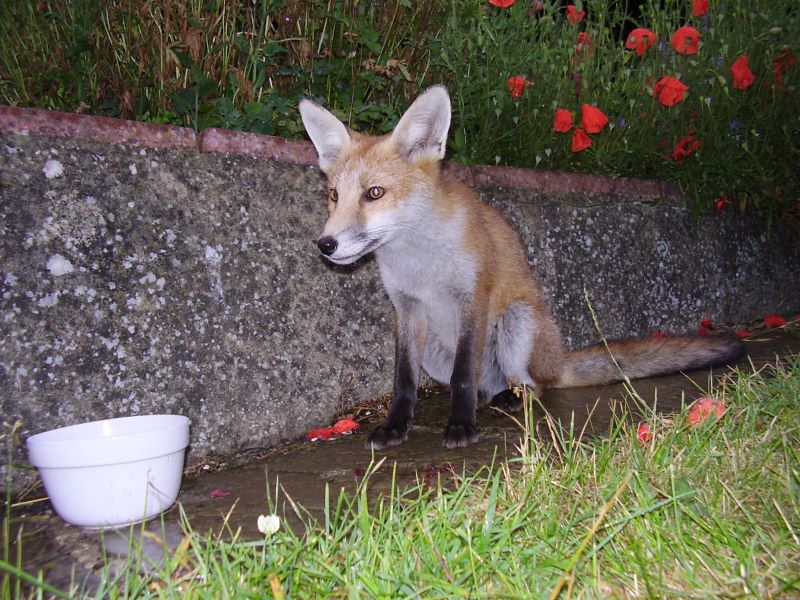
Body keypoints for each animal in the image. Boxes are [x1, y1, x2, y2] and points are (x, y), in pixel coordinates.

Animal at [296, 84, 748, 450]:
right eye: (334, 195)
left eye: (374, 193)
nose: (325, 244)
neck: (420, 263)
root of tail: (557, 360)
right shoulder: (407, 310)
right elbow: (403, 382)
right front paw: (396, 427)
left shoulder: (472, 298)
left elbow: (463, 375)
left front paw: (460, 427)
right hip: (435, 354)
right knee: (484, 384)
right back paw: (489, 398)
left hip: (517, 320)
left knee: (534, 386)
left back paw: (510, 399)